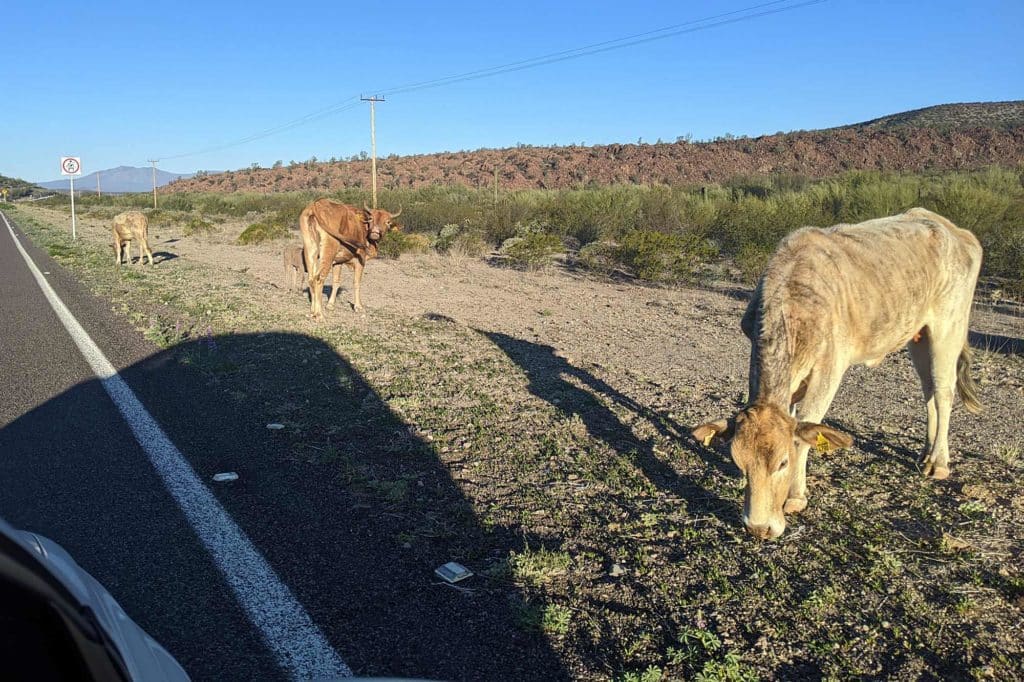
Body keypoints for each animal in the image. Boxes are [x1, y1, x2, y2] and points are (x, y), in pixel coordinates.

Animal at [692, 206, 978, 536]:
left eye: (783, 463)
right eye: (740, 463)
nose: (758, 527)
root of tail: (949, 227)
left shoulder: (830, 368)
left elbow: (807, 425)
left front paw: (796, 496)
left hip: (948, 327)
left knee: (943, 392)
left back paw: (939, 462)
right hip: (918, 336)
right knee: (929, 392)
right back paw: (925, 453)